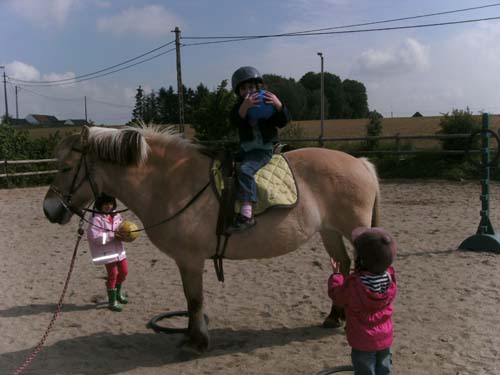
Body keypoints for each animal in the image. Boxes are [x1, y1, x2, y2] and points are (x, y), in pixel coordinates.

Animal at [43, 126, 378, 356]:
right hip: (329, 231)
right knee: (342, 265)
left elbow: (194, 300)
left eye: (66, 167)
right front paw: (191, 336)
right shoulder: (186, 261)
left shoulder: (190, 260)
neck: (171, 182)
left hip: (355, 230)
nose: (49, 209)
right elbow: (190, 301)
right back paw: (335, 316)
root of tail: (361, 163)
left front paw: (197, 342)